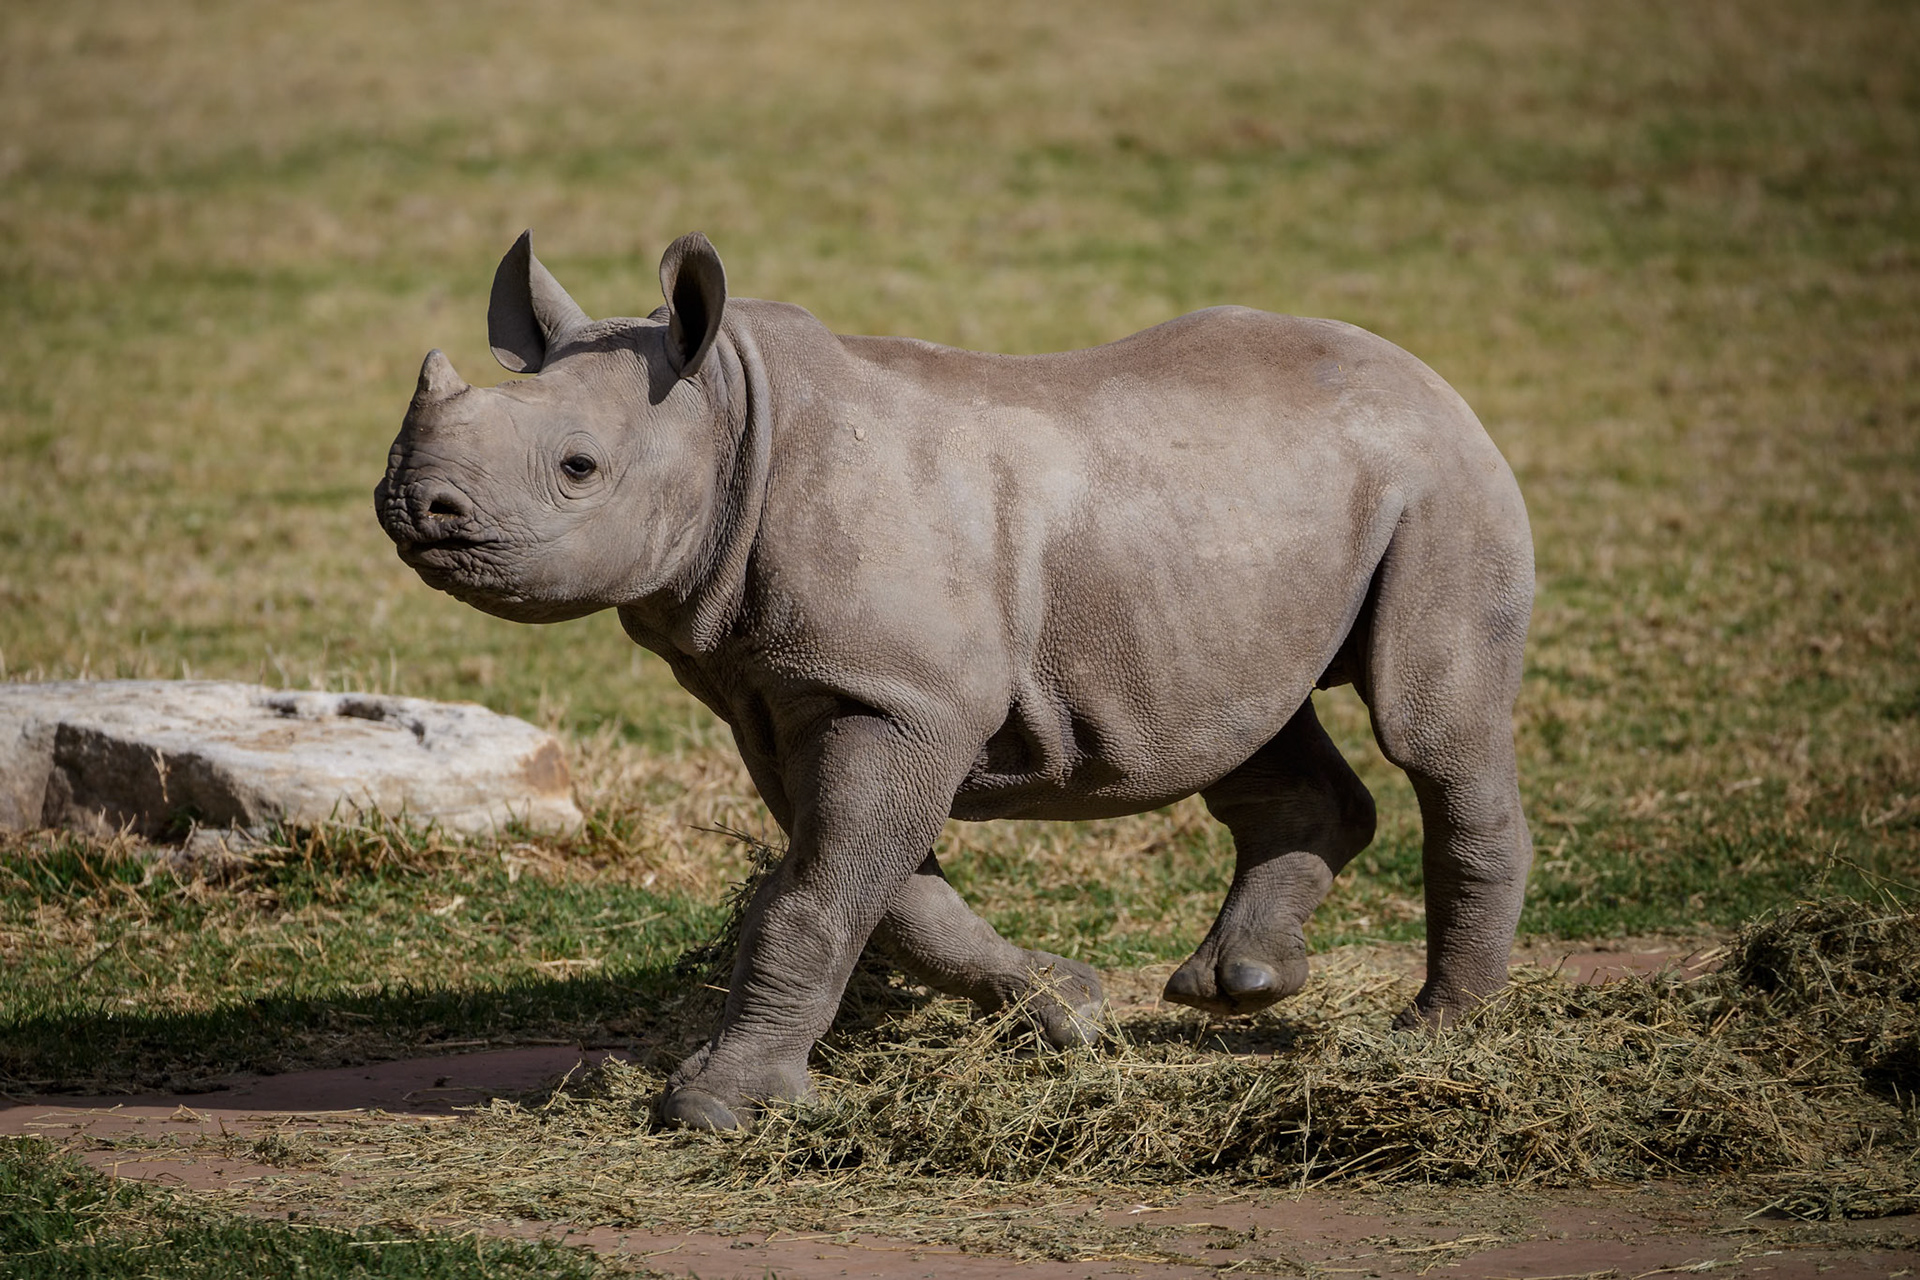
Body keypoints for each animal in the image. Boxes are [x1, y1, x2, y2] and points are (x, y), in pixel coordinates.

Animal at [375, 231, 1535, 1131]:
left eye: (578, 468)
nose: (414, 504)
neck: (733, 415)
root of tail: (1432, 378)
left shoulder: (896, 697)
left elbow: (819, 892)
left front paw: (712, 1108)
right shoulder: (793, 692)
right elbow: (882, 892)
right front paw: (1072, 1009)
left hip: (1441, 479)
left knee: (1431, 728)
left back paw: (1435, 1033)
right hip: (1230, 530)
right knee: (1245, 722)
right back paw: (1239, 987)